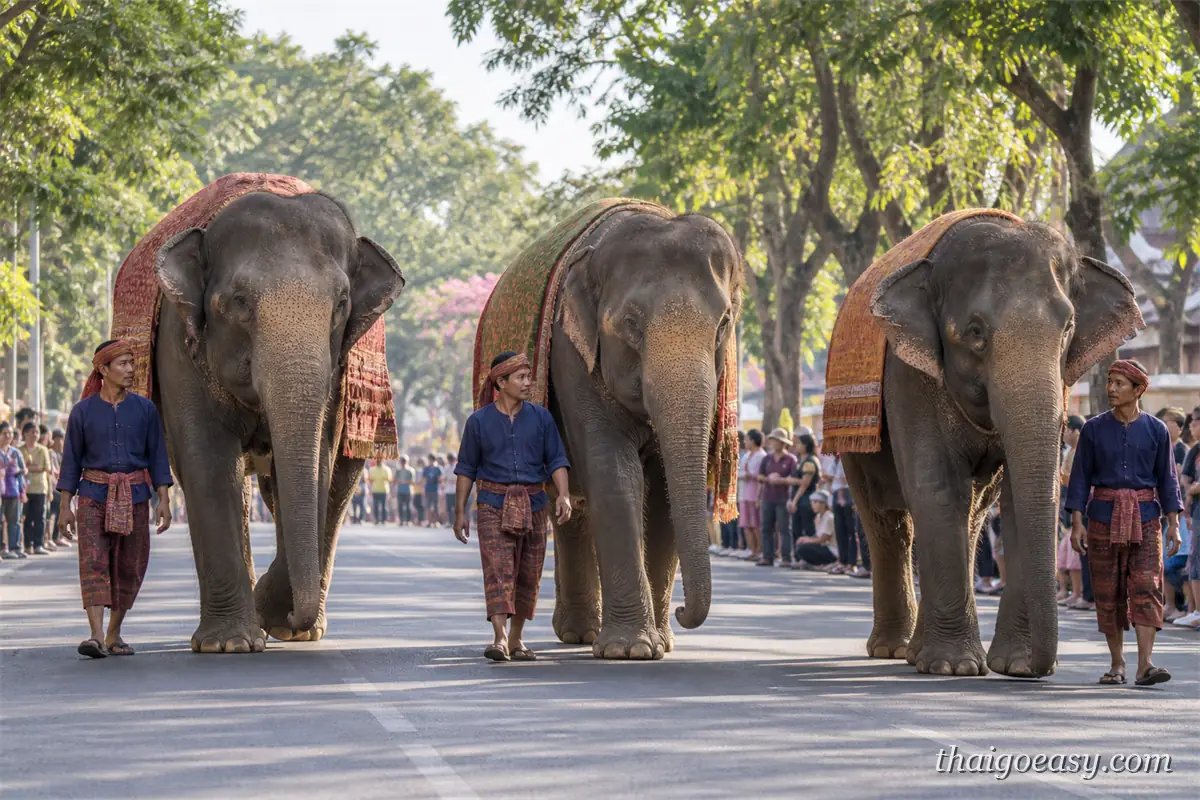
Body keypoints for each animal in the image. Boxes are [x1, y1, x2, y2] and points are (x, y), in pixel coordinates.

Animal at [153, 191, 405, 653]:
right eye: (238, 301)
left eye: (341, 304)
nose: (289, 615)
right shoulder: (178, 344)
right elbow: (208, 463)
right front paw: (229, 644)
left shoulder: (338, 369)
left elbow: (318, 462)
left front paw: (272, 619)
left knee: (336, 486)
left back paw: (301, 629)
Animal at [547, 209, 742, 659]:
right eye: (631, 324)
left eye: (724, 323)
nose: (685, 612)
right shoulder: (570, 354)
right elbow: (615, 475)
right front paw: (630, 649)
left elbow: (664, 487)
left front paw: (660, 644)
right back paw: (581, 633)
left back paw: (589, 633)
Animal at [842, 217, 1141, 677]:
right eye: (975, 332)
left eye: (1068, 328)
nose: (1041, 669)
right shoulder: (907, 376)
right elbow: (936, 487)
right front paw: (956, 668)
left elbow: (1020, 493)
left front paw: (1012, 665)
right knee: (887, 523)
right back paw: (895, 650)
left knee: (971, 516)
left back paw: (917, 653)